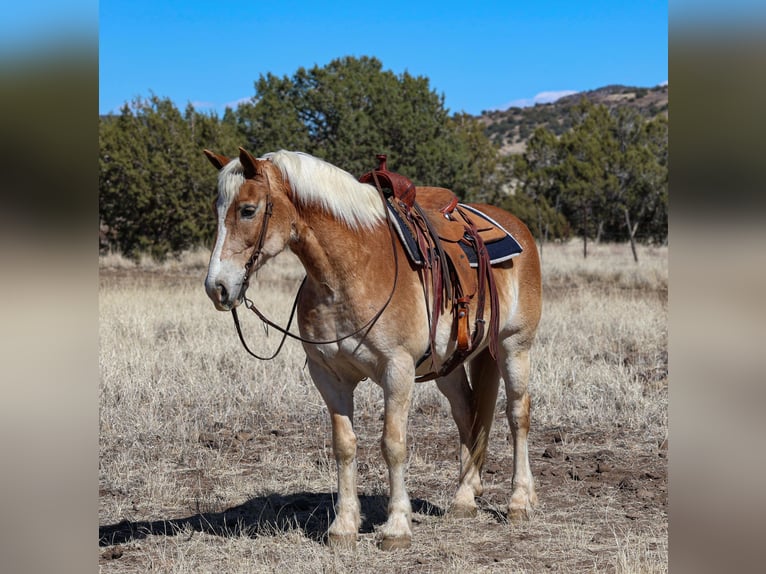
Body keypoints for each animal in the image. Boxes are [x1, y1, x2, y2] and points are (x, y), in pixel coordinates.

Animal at [201, 146, 544, 552]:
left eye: (248, 209)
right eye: (217, 209)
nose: (217, 287)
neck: (350, 268)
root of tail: (517, 226)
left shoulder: (398, 370)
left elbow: (392, 444)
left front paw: (396, 527)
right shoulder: (328, 376)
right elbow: (344, 445)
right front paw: (344, 525)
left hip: (514, 347)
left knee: (517, 414)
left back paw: (520, 501)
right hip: (450, 364)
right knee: (467, 413)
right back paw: (465, 496)